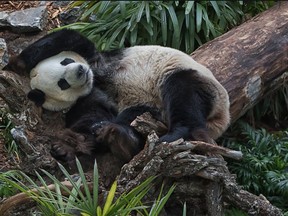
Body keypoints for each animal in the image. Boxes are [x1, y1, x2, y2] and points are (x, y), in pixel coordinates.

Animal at [3, 29, 230, 164]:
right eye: (62, 83)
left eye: (65, 61)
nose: (80, 71)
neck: (97, 79)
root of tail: (221, 119)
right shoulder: (90, 98)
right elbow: (90, 117)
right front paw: (70, 144)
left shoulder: (98, 59)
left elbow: (70, 38)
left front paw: (16, 64)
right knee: (141, 115)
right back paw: (121, 137)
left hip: (188, 76)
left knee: (182, 94)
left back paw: (173, 134)